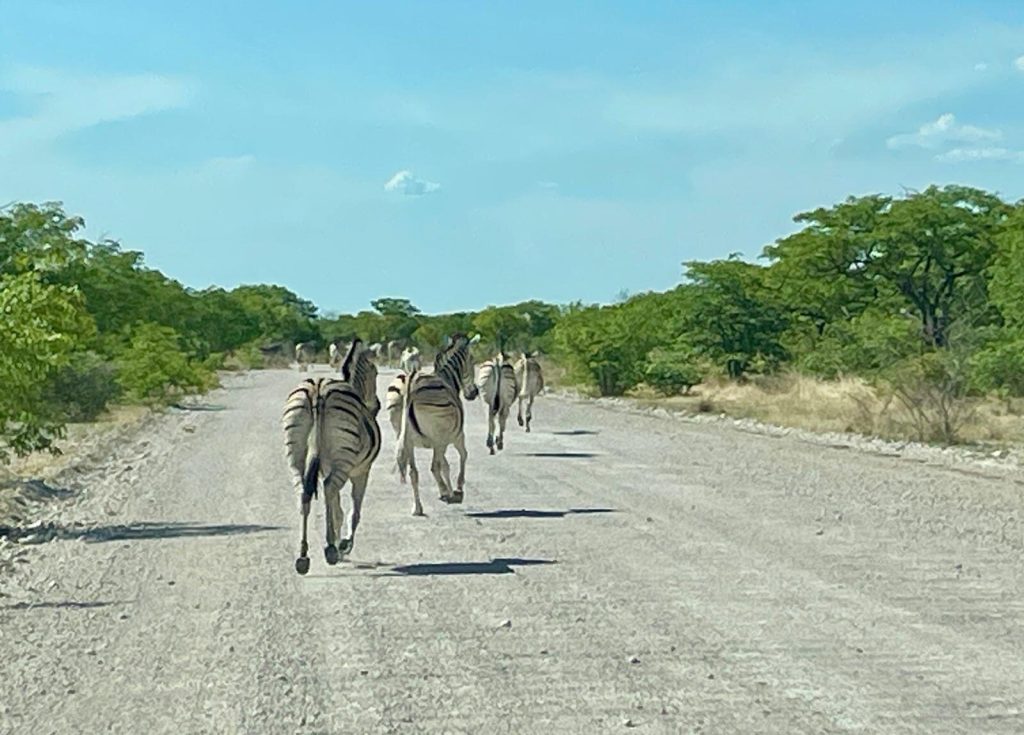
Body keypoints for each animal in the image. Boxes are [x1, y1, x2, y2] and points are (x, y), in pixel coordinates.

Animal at [282, 339, 382, 574]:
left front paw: (337, 541)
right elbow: (353, 511)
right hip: (343, 462)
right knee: (328, 489)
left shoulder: (329, 468)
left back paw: (303, 555)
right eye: (376, 372)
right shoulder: (362, 471)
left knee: (304, 491)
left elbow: (337, 508)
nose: (378, 405)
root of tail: (317, 389)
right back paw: (329, 550)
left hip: (296, 454)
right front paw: (344, 544)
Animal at [395, 333, 481, 516]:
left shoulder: (441, 442)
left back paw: (417, 508)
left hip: (408, 441)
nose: (473, 393)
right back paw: (446, 495)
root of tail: (411, 383)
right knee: (433, 466)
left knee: (414, 472)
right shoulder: (455, 436)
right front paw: (456, 490)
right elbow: (462, 456)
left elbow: (445, 465)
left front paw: (448, 490)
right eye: (472, 360)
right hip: (438, 438)